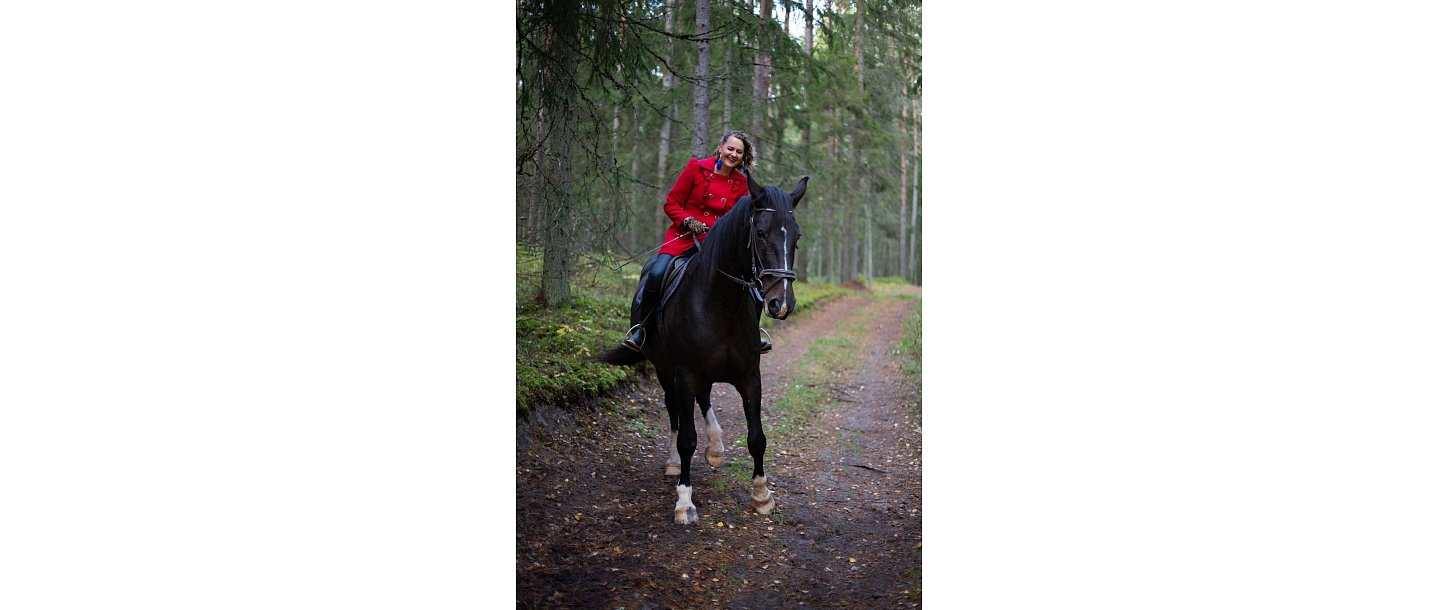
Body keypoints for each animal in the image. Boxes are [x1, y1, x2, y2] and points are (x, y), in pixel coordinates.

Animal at [598, 173, 808, 525]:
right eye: (760, 233)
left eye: (796, 237)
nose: (782, 304)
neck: (721, 302)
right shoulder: (684, 374)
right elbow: (686, 438)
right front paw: (685, 501)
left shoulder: (750, 376)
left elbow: (757, 437)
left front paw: (762, 495)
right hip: (665, 371)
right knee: (674, 413)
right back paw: (673, 463)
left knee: (705, 398)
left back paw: (716, 447)